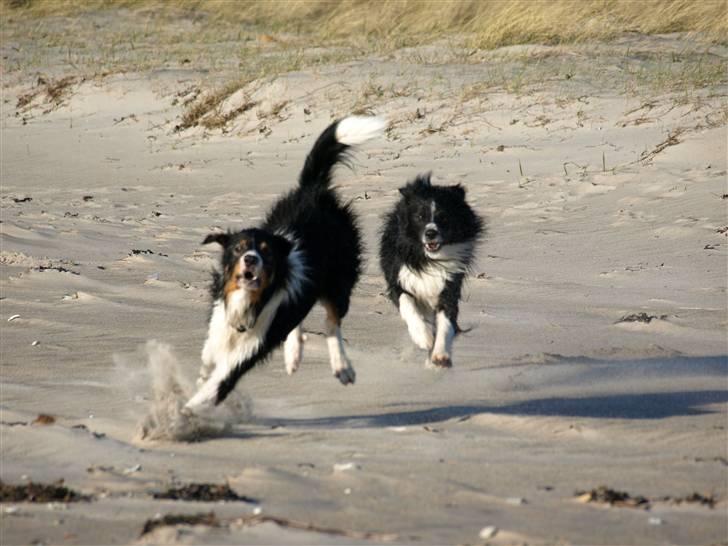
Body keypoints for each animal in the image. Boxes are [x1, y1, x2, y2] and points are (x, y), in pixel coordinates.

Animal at [183, 116, 386, 412]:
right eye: (238, 248)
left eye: (266, 252)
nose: (250, 259)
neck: (246, 302)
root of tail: (314, 190)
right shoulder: (216, 339)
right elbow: (203, 375)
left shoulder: (245, 354)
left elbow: (211, 390)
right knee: (300, 319)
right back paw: (293, 354)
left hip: (339, 281)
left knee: (332, 321)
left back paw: (342, 367)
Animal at [382, 174, 484, 368]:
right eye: (420, 216)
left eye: (443, 217)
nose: (430, 233)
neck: (430, 259)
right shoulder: (399, 279)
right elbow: (407, 303)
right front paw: (424, 338)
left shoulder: (449, 285)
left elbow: (446, 321)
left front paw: (440, 354)